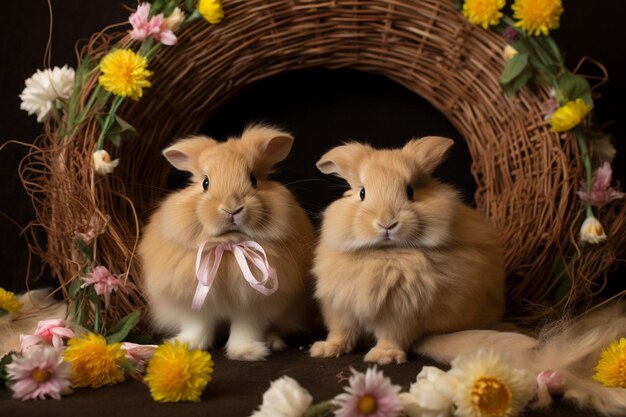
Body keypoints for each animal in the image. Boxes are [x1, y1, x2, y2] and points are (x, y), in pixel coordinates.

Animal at [136, 125, 312, 360]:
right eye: (205, 183)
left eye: (253, 179)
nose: (232, 208)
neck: (228, 246)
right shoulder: (193, 303)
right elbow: (197, 325)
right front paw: (187, 345)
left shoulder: (253, 304)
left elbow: (246, 328)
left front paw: (246, 352)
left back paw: (273, 342)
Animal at [310, 137, 504, 364]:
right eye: (362, 193)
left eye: (410, 191)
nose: (387, 222)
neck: (383, 253)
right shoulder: (340, 309)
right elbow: (340, 332)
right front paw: (325, 349)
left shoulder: (400, 314)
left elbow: (391, 335)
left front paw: (383, 356)